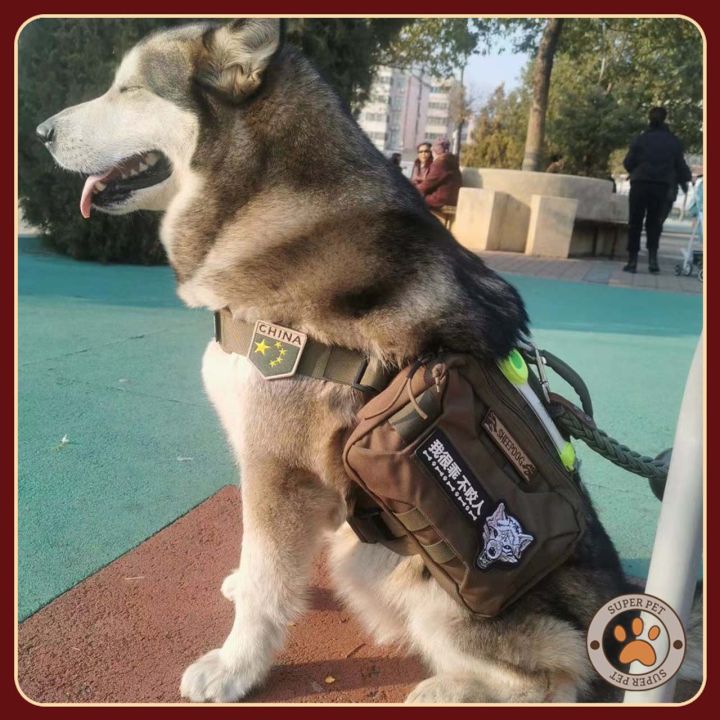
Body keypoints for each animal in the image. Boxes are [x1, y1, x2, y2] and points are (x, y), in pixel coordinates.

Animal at [36, 19, 702, 703]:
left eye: (130, 89)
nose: (40, 133)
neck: (257, 200)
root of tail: (612, 599)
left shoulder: (278, 464)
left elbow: (266, 583)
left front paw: (235, 667)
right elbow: (259, 564)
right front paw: (242, 590)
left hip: (433, 593)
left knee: (558, 677)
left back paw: (441, 690)